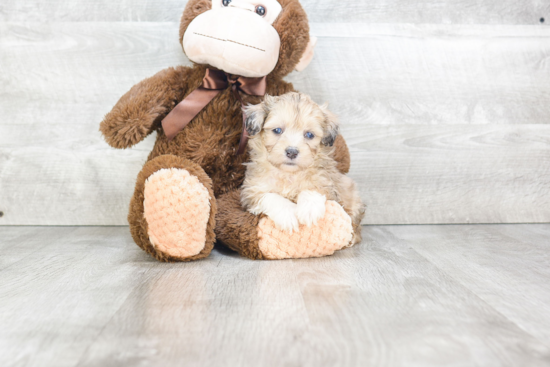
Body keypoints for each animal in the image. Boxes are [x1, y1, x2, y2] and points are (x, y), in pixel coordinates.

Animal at [242, 92, 366, 247]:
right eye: (277, 130)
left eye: (309, 135)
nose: (292, 152)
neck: (289, 174)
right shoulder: (251, 191)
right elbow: (271, 196)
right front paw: (288, 215)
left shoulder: (327, 184)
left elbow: (312, 189)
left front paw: (309, 209)